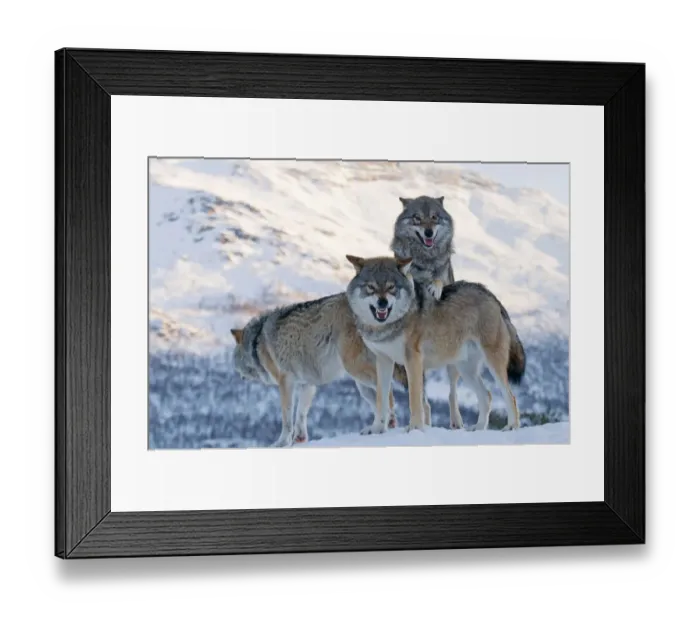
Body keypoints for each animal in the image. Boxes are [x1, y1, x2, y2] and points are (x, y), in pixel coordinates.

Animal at [231, 293, 408, 447]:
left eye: (234, 360)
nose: (239, 376)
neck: (255, 343)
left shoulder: (286, 382)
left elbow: (287, 418)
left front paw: (281, 443)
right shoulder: (307, 384)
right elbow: (301, 414)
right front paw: (300, 439)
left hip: (355, 368)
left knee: (387, 390)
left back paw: (384, 425)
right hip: (362, 385)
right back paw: (381, 426)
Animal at [345, 255, 526, 434]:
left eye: (391, 287)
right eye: (371, 287)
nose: (382, 303)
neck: (387, 326)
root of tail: (491, 295)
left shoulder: (413, 360)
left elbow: (414, 400)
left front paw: (415, 428)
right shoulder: (383, 361)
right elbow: (381, 400)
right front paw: (376, 428)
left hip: (492, 363)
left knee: (510, 396)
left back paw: (512, 426)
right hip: (466, 370)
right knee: (487, 395)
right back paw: (479, 428)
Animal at [389, 195, 464, 429]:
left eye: (434, 217)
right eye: (417, 218)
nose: (429, 232)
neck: (424, 260)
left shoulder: (443, 275)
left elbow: (438, 279)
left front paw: (434, 288)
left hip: (452, 360)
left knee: (452, 394)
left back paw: (456, 422)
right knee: (425, 402)